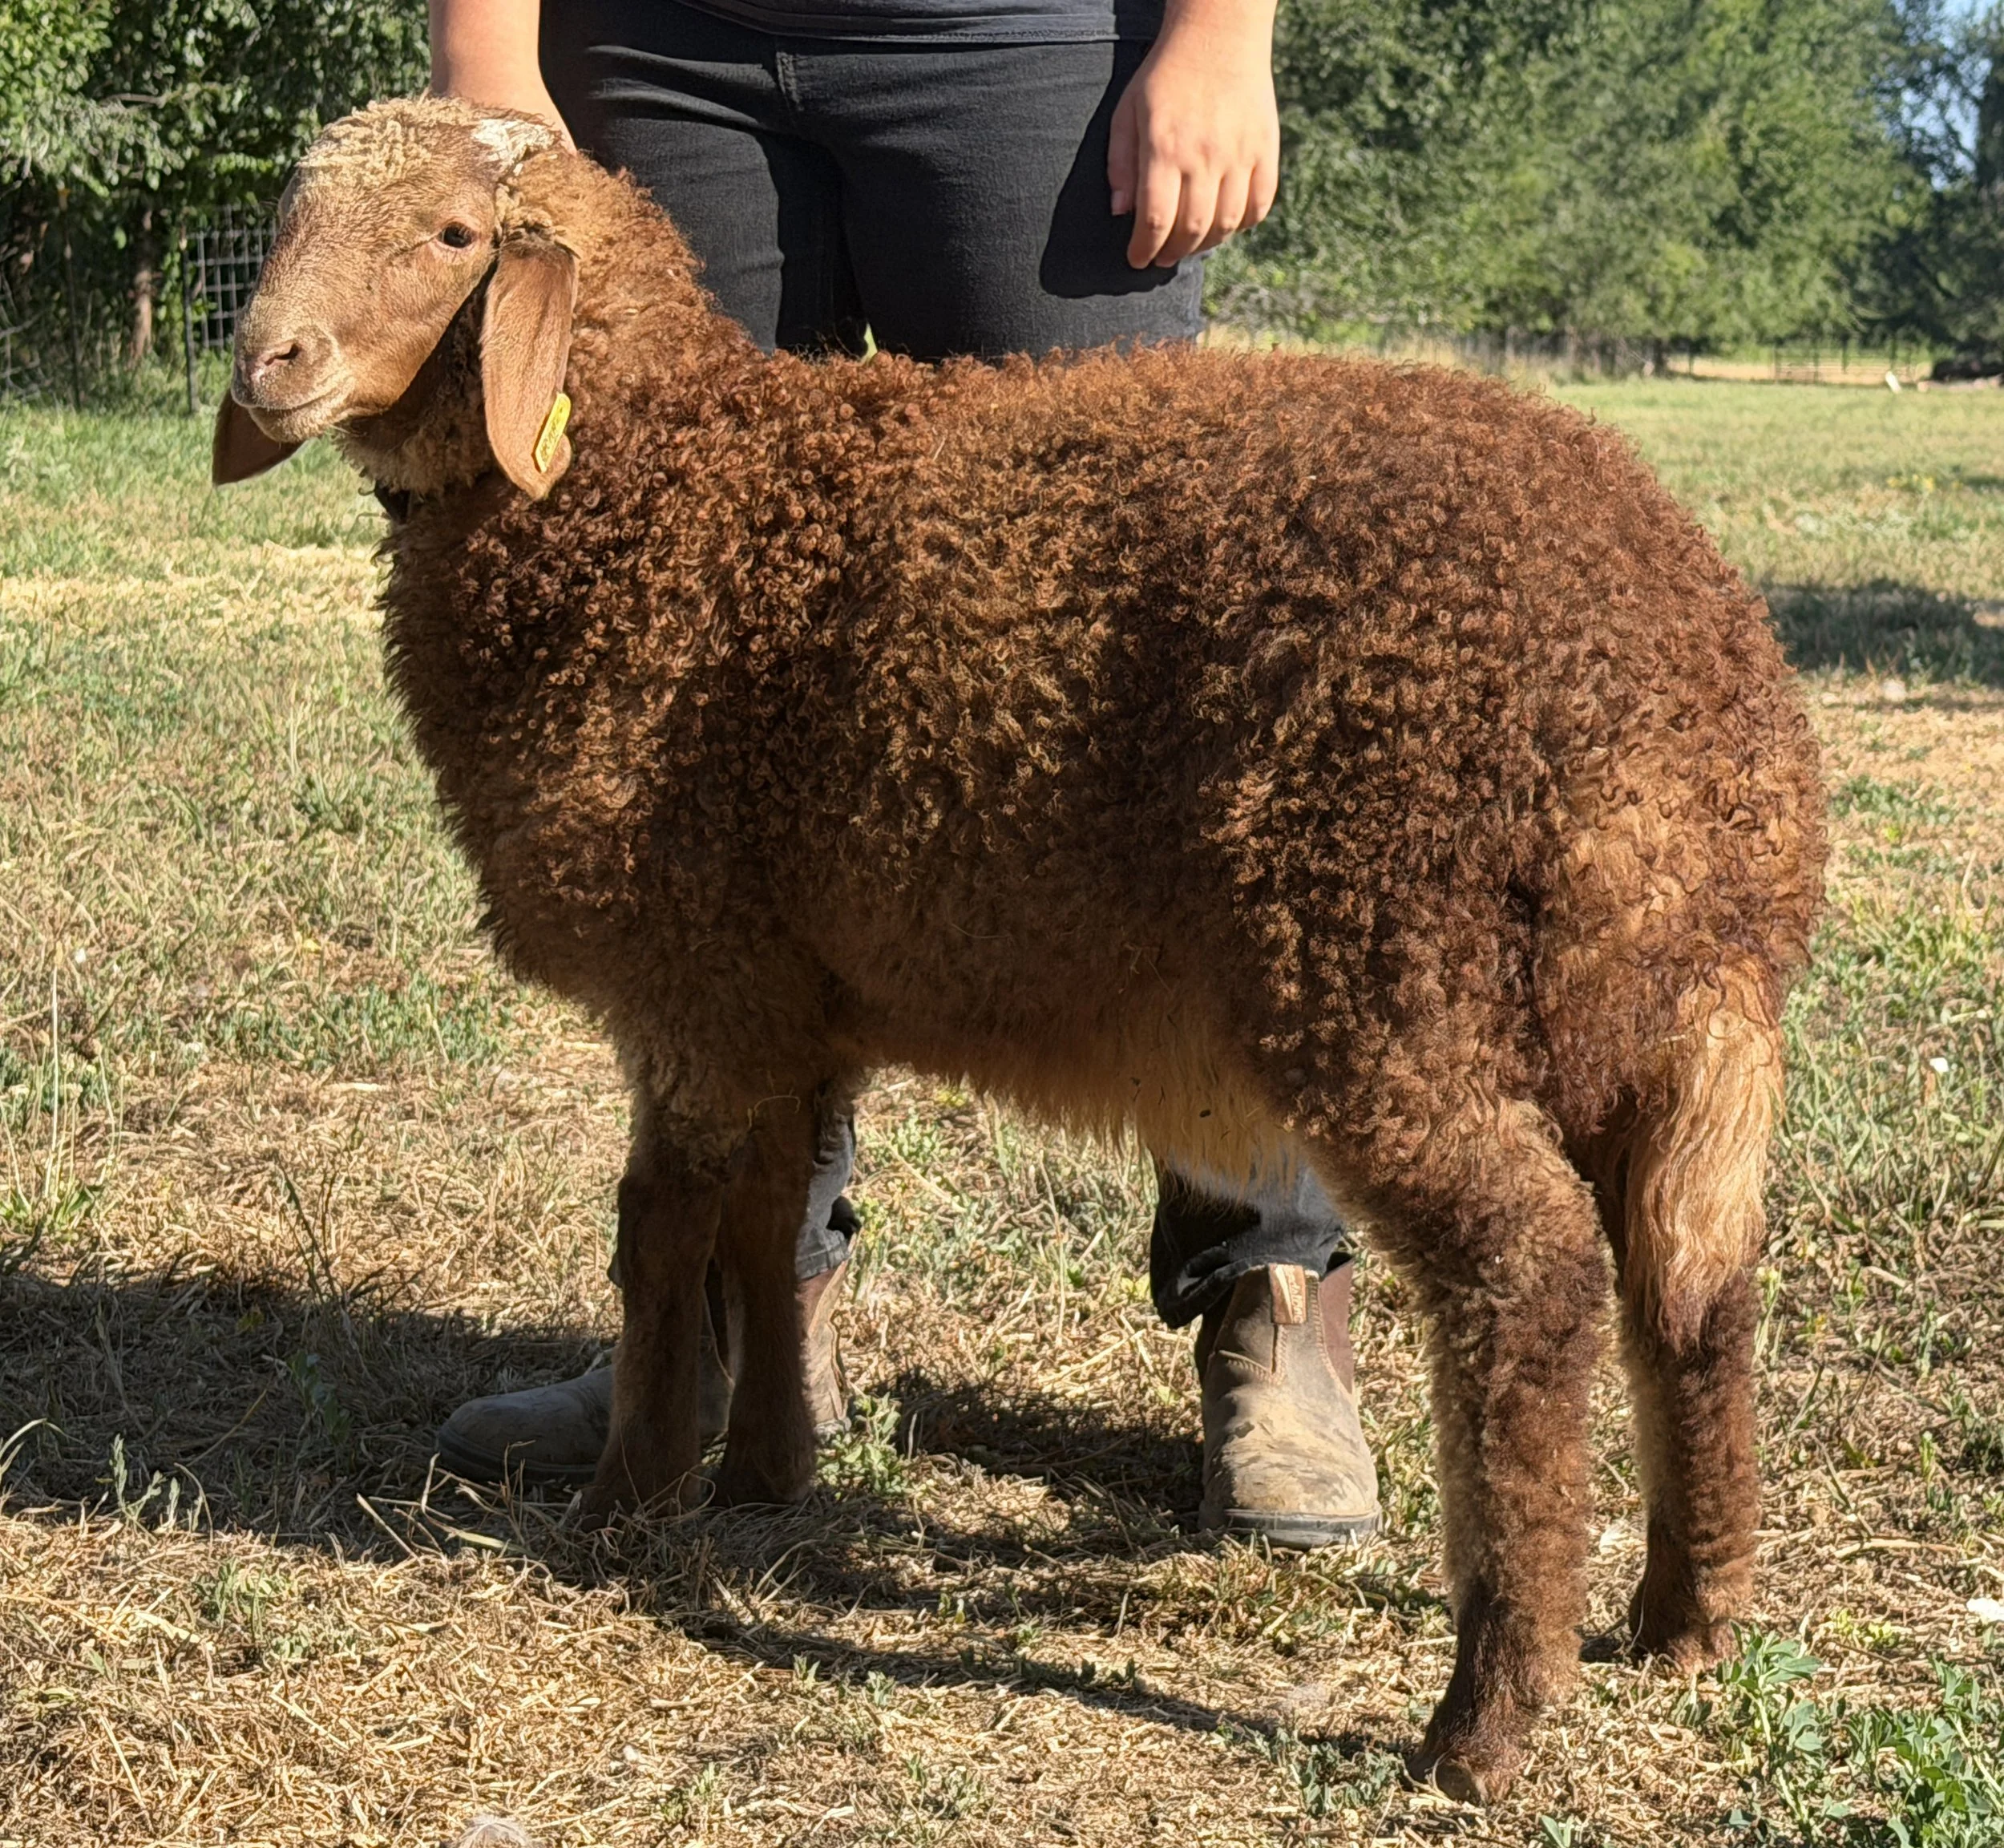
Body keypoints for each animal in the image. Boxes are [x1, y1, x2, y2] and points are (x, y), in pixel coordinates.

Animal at [213, 96, 1827, 1801]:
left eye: (453, 237)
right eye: (294, 213)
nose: (267, 362)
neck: (669, 492)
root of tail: (1708, 711)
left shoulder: (693, 976)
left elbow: (660, 1237)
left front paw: (626, 1500)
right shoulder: (792, 998)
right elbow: (768, 1230)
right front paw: (767, 1471)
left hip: (1392, 982)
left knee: (1535, 1283)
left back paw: (1488, 1719)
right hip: (1682, 1044)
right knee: (1696, 1291)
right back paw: (1685, 1619)